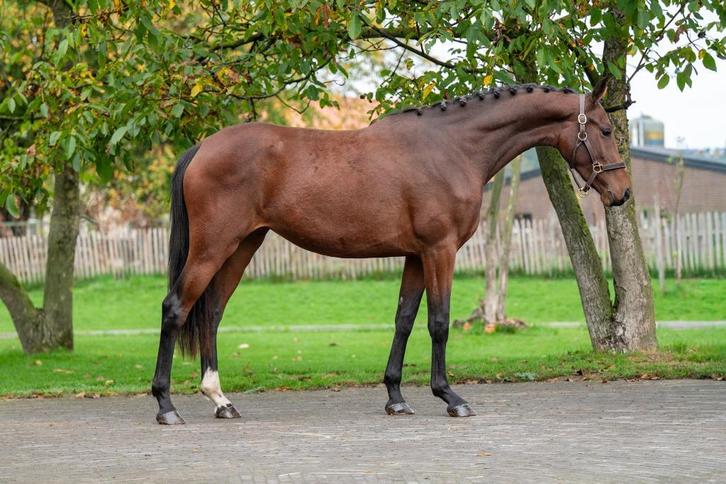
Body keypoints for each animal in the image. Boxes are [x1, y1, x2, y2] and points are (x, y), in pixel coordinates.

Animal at [151, 78, 630, 424]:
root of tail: (203, 147)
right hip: (214, 246)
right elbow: (438, 322)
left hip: (242, 245)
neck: (453, 147)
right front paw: (450, 396)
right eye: (606, 130)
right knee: (176, 307)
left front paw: (396, 397)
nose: (622, 193)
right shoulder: (440, 251)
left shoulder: (416, 255)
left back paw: (221, 400)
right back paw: (166, 406)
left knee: (212, 312)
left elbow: (404, 320)